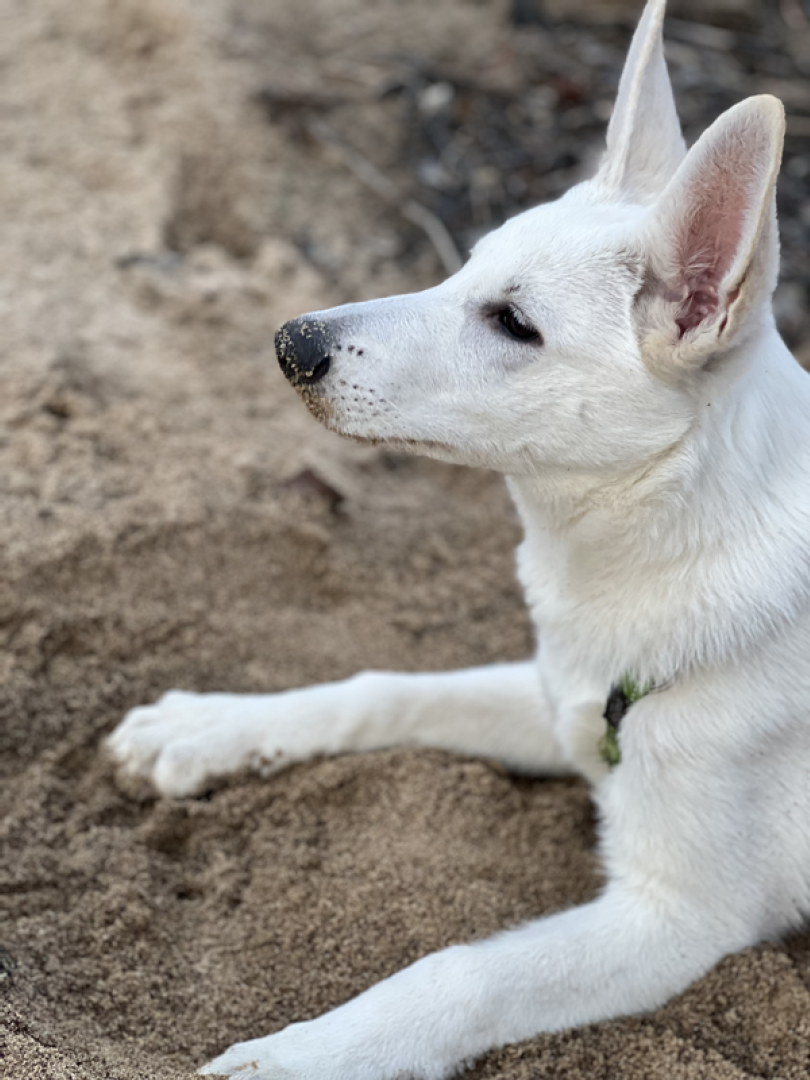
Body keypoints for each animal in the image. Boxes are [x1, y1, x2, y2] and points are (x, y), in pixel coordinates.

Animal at [107, 1, 810, 1076]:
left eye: (513, 322)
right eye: (466, 263)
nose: (292, 344)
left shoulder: (681, 915)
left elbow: (459, 970)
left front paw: (300, 1054)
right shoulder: (562, 702)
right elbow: (384, 688)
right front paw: (210, 727)